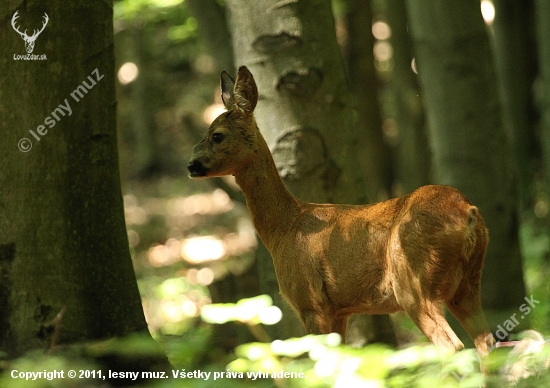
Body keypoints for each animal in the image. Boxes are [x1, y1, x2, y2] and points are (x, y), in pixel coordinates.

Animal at [188, 66, 498, 354]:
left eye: (217, 135)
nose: (191, 165)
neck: (283, 228)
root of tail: (468, 212)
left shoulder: (310, 302)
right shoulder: (340, 310)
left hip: (413, 280)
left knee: (452, 346)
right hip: (467, 284)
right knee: (487, 343)